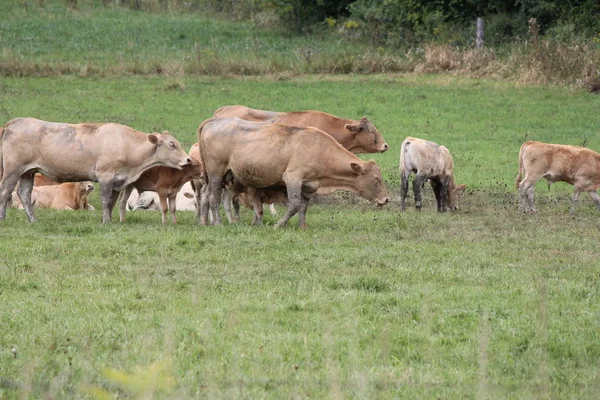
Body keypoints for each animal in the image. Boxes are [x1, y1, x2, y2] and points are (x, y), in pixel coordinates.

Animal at [0, 117, 191, 223]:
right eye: (171, 144)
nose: (188, 159)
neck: (127, 145)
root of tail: (15, 123)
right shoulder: (106, 177)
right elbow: (106, 201)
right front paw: (106, 221)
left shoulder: (118, 180)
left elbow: (112, 202)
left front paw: (111, 219)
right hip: (12, 170)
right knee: (4, 192)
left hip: (27, 172)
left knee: (24, 194)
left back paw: (33, 220)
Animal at [197, 117, 390, 228]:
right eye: (376, 178)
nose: (386, 199)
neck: (321, 150)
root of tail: (213, 121)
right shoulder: (293, 178)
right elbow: (295, 205)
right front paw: (279, 224)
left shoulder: (309, 185)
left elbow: (303, 207)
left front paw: (302, 226)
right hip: (216, 173)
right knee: (214, 197)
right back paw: (217, 222)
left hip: (220, 175)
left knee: (205, 195)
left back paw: (204, 222)